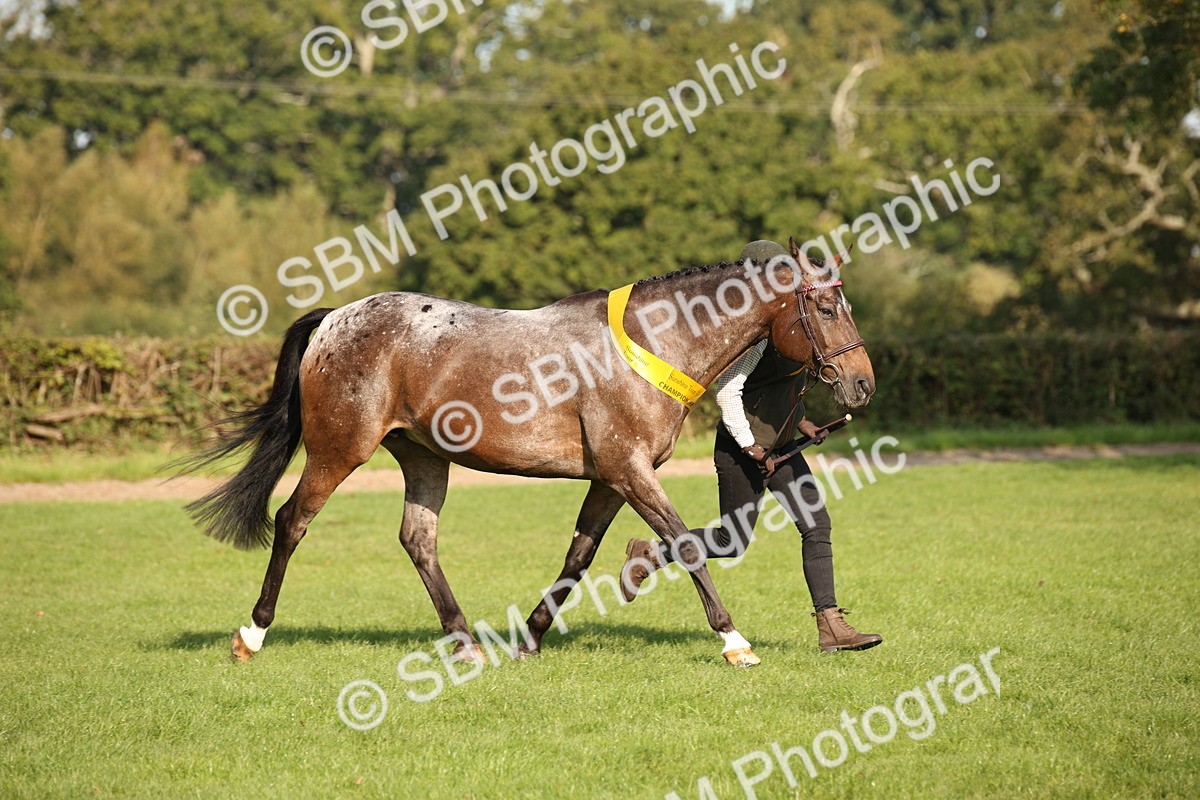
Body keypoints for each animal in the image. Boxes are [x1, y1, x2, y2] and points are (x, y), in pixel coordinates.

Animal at [182, 237, 874, 668]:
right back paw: (251, 634)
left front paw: (532, 637)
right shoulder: (630, 471)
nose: (863, 384)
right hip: (339, 450)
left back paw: (465, 642)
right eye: (824, 306)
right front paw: (734, 642)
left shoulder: (611, 477)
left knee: (417, 540)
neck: (655, 341)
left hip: (424, 457)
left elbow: (580, 554)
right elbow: (683, 543)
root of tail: (333, 319)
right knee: (292, 521)